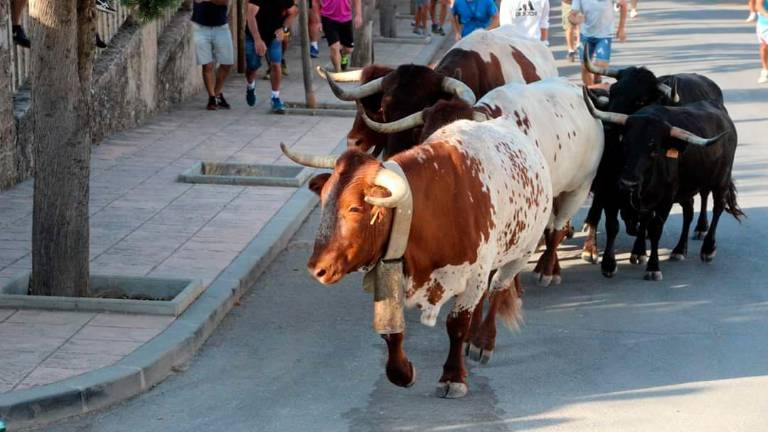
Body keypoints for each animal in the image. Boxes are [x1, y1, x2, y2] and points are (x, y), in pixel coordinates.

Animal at [282, 117, 552, 398]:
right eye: (324, 200)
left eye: (354, 208)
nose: (317, 268)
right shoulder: (394, 272)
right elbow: (391, 331)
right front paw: (402, 373)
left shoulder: (474, 274)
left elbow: (456, 324)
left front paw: (453, 377)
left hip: (521, 252)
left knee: (498, 289)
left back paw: (482, 341)